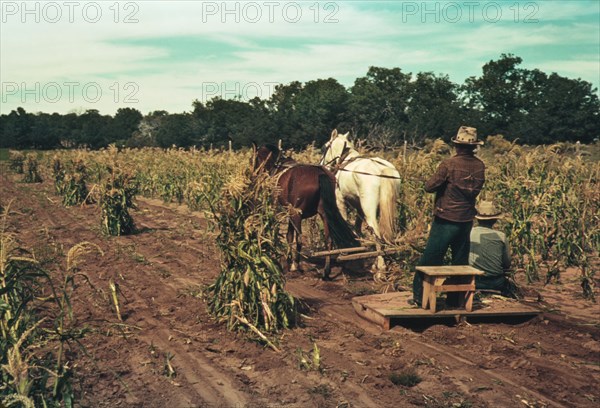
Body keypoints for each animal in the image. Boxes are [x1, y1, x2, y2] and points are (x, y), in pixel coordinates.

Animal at [252, 144, 356, 280]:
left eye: (254, 158)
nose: (254, 175)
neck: (278, 165)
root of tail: (320, 174)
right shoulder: (290, 212)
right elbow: (289, 236)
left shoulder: (283, 211)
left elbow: (287, 235)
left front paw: (287, 261)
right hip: (324, 214)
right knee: (328, 240)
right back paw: (326, 271)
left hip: (297, 214)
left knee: (300, 238)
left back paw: (296, 265)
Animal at [322, 130, 400, 270]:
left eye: (324, 147)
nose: (321, 165)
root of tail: (381, 169)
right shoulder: (359, 206)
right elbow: (357, 226)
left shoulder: (340, 202)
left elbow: (345, 221)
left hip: (369, 209)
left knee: (375, 230)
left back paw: (380, 264)